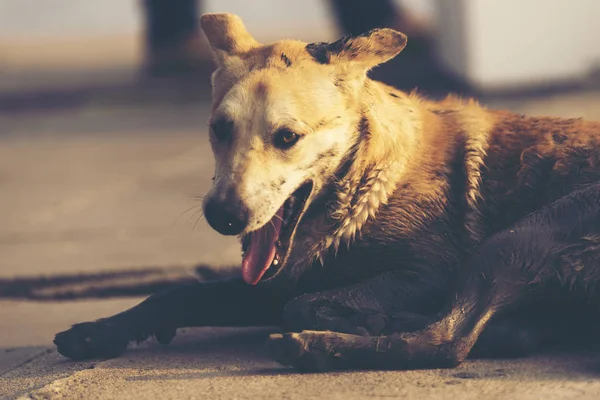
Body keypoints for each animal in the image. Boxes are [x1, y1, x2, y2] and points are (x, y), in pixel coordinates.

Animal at [54, 13, 600, 372]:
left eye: (287, 138)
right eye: (218, 129)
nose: (223, 217)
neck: (363, 187)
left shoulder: (428, 270)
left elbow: (302, 303)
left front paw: (359, 318)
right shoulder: (272, 280)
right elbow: (180, 292)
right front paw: (97, 331)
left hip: (518, 237)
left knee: (447, 341)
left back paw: (330, 342)